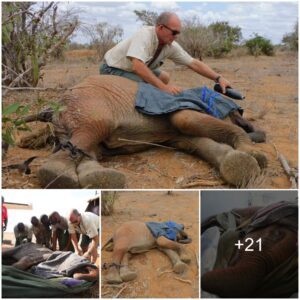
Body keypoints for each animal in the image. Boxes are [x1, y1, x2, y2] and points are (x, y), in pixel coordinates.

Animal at [24, 75, 268, 188]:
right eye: (239, 114)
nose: (258, 133)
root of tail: (55, 106)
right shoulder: (188, 104)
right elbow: (186, 120)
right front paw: (254, 155)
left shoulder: (177, 135)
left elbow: (196, 142)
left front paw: (238, 165)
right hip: (88, 105)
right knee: (92, 131)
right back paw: (58, 176)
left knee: (87, 148)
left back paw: (99, 179)